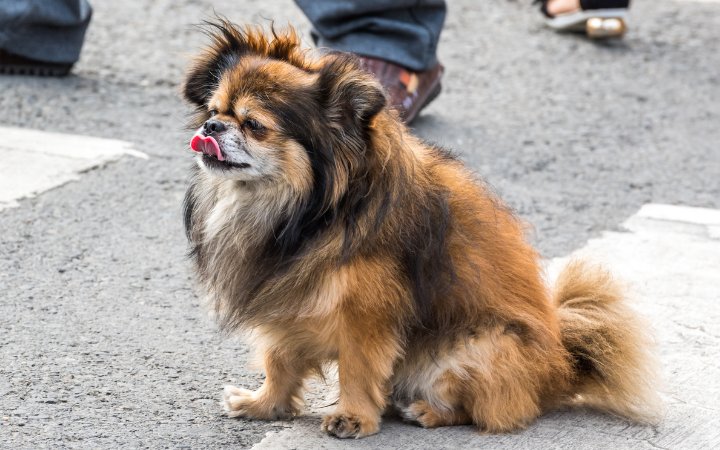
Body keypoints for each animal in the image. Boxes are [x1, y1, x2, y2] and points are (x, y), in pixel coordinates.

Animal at [183, 22, 660, 440]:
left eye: (254, 125)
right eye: (214, 110)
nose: (211, 127)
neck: (312, 210)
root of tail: (561, 366)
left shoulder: (366, 314)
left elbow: (357, 368)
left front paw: (353, 417)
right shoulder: (283, 299)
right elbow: (279, 361)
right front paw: (264, 405)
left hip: (473, 349)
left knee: (483, 409)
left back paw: (426, 411)